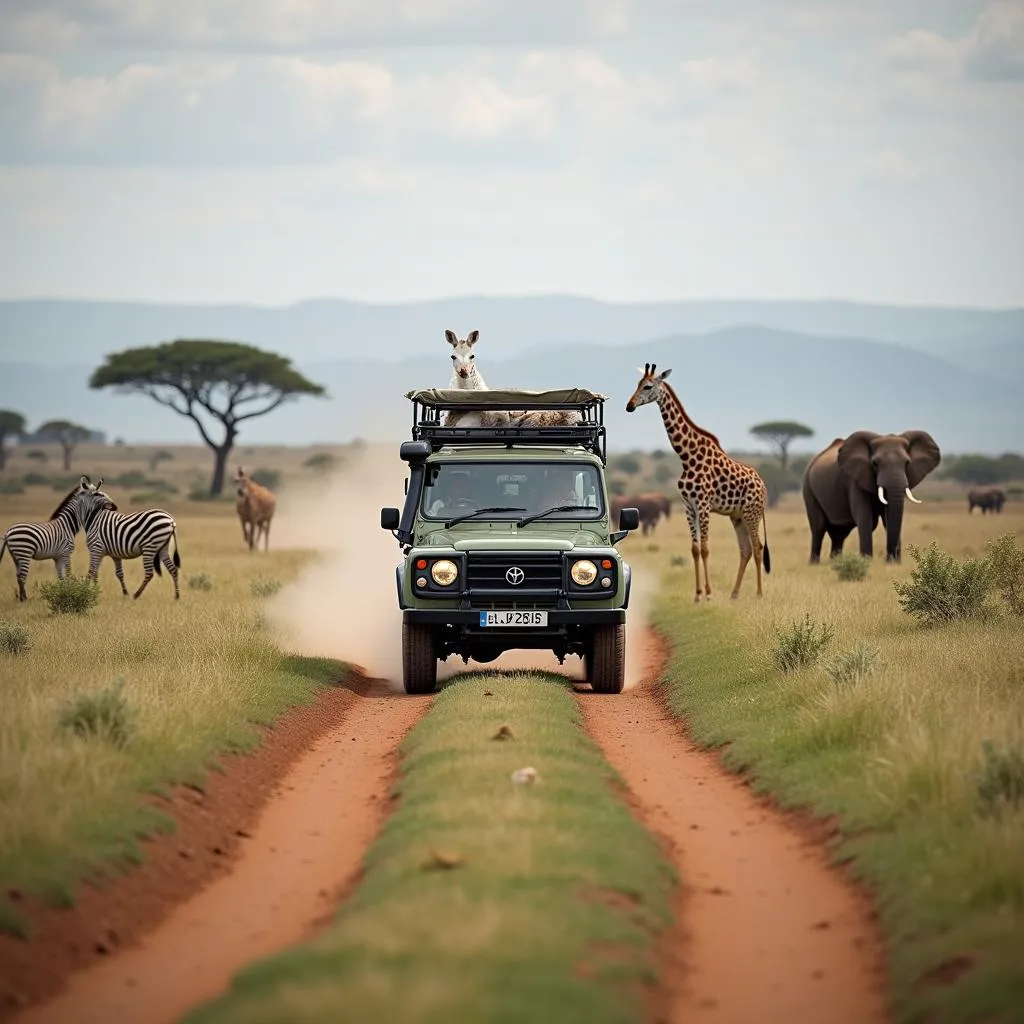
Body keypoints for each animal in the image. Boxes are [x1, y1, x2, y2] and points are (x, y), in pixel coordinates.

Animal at [622, 364, 770, 598]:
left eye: (647, 386)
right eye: (637, 384)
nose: (629, 406)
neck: (686, 456)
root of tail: (763, 485)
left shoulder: (703, 504)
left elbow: (706, 548)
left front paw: (708, 593)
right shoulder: (688, 506)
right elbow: (694, 549)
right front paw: (698, 594)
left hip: (751, 512)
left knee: (757, 548)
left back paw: (758, 594)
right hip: (737, 516)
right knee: (745, 549)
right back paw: (734, 594)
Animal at [798, 428, 942, 565]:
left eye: (907, 463)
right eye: (875, 463)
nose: (889, 560)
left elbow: (888, 516)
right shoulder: (854, 479)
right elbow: (864, 516)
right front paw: (867, 562)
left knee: (839, 534)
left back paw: (835, 562)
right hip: (808, 488)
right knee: (819, 528)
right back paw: (814, 564)